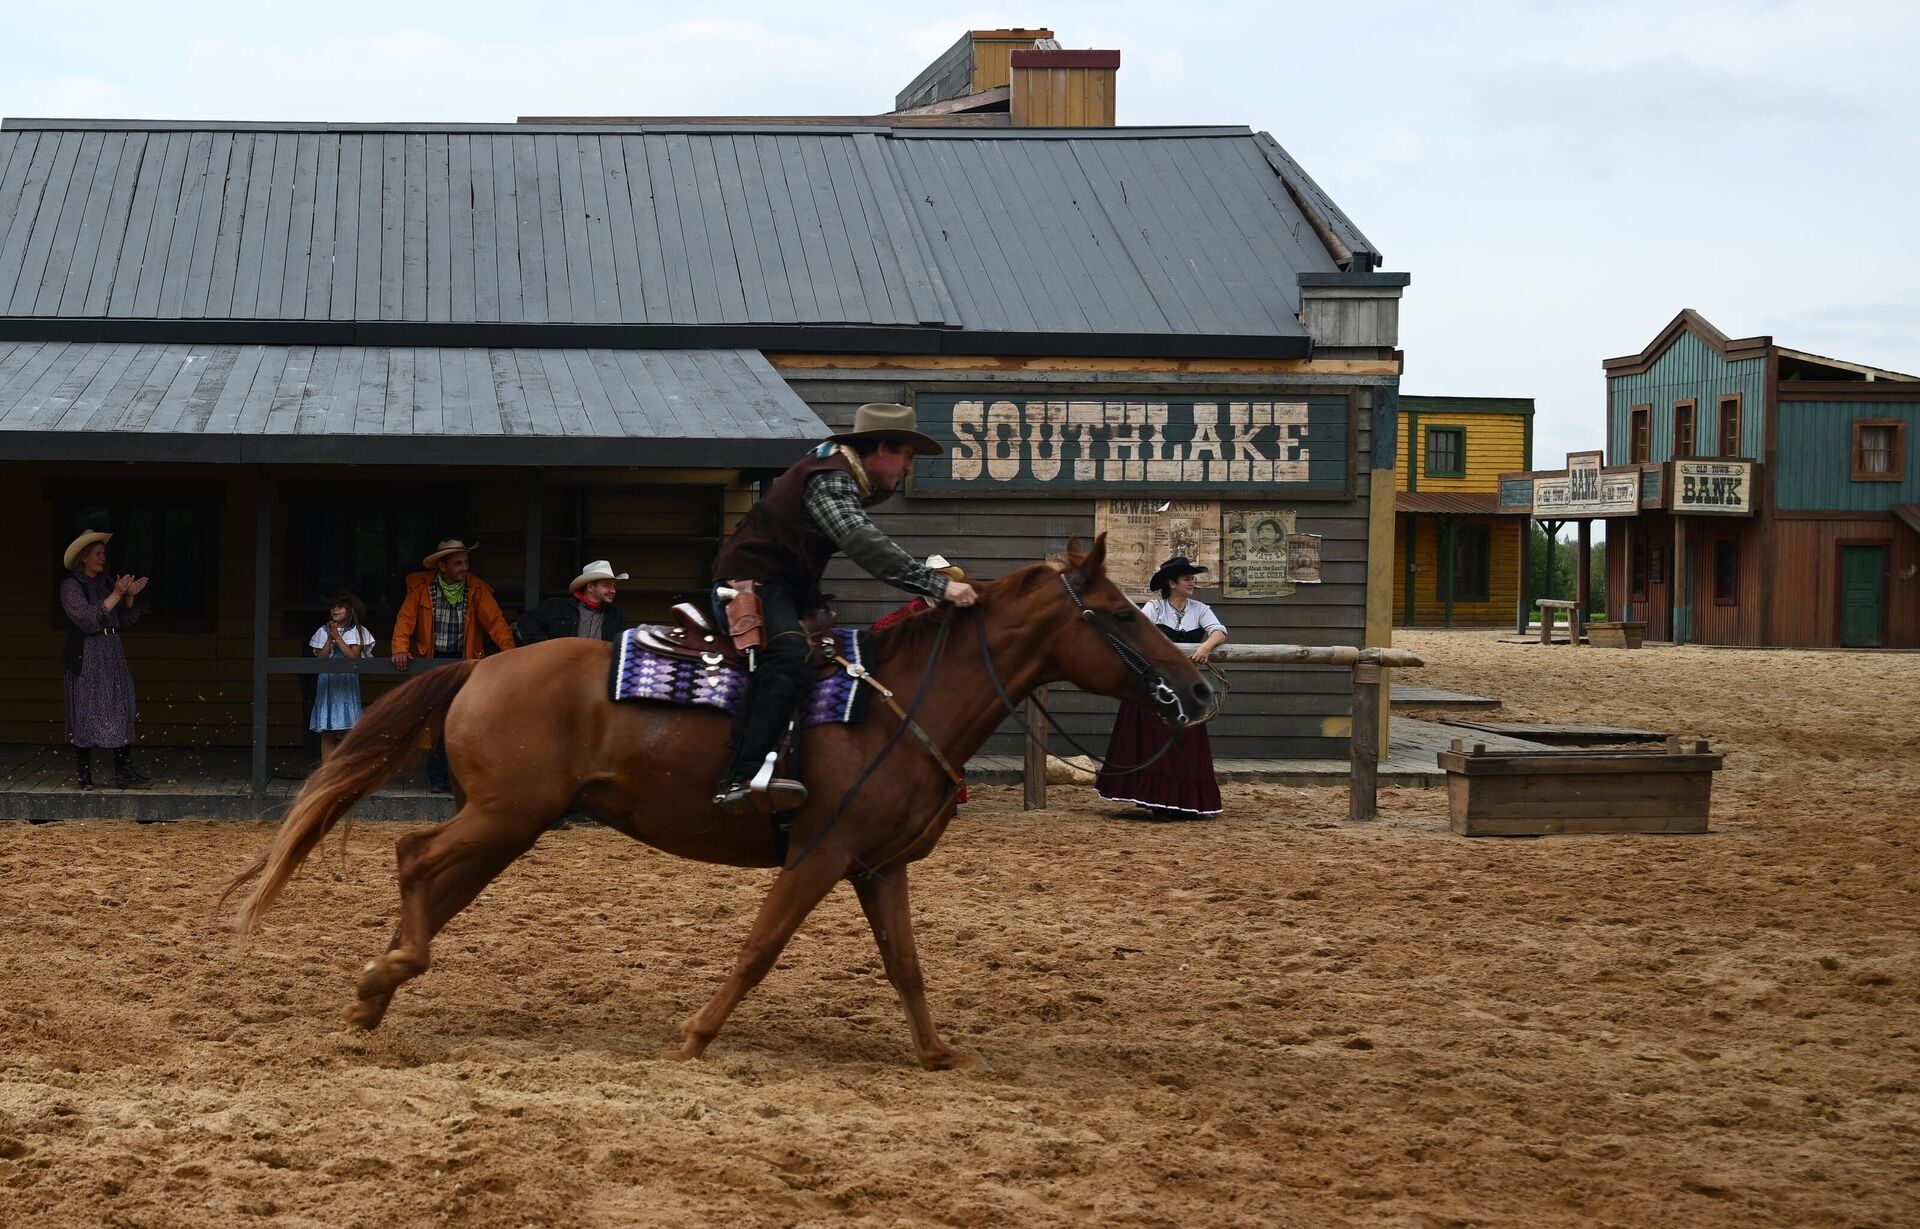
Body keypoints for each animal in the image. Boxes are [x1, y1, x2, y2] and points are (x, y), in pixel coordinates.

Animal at [228, 537, 1213, 1067]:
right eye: (1119, 615)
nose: (1200, 690)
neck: (902, 701)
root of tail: (479, 664)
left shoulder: (877, 865)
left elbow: (905, 965)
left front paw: (937, 1053)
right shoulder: (819, 853)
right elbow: (760, 947)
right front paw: (695, 1036)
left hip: (515, 821)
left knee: (438, 877)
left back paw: (378, 989)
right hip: (507, 813)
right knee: (415, 858)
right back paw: (382, 977)